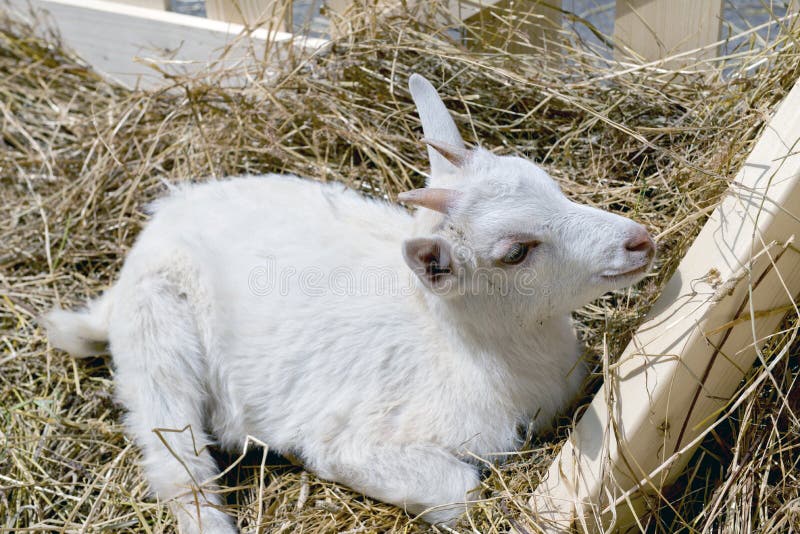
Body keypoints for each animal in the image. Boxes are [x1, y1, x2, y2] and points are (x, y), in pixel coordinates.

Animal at [42, 74, 655, 532]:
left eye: (549, 183)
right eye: (515, 252)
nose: (640, 240)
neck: (467, 353)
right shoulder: (349, 442)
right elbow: (460, 492)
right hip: (158, 339)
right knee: (178, 467)